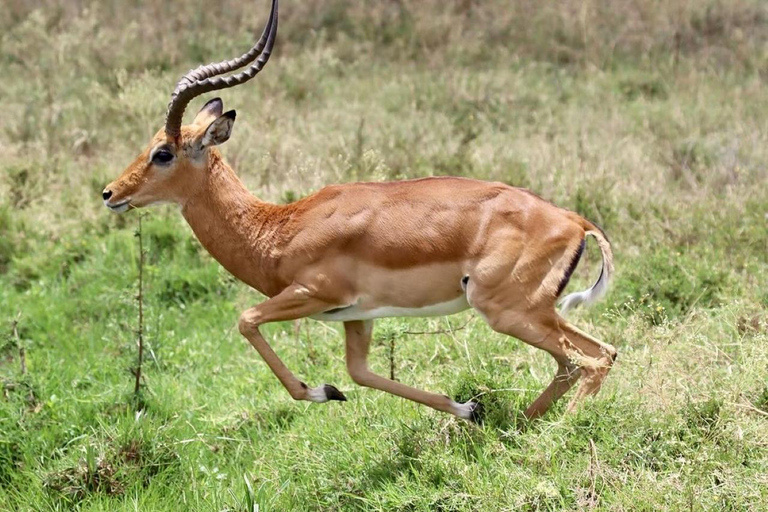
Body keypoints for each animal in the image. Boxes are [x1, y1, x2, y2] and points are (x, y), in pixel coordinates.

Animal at [102, 0, 616, 420]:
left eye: (163, 153)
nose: (110, 193)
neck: (280, 228)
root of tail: (575, 222)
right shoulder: (356, 315)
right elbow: (360, 373)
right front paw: (466, 408)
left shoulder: (312, 293)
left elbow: (246, 319)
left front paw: (320, 391)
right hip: (538, 312)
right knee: (597, 354)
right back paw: (518, 423)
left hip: (505, 310)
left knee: (586, 361)